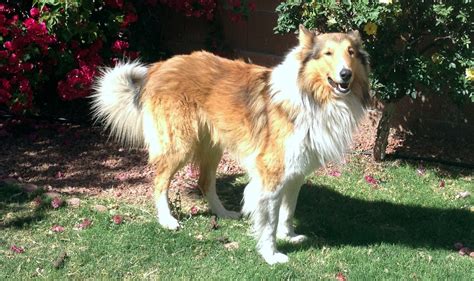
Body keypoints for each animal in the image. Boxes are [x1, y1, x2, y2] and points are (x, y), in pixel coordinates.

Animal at [91, 25, 370, 264]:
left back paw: (224, 213)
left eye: (351, 52)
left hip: (212, 146)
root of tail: (159, 66)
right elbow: (269, 221)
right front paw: (271, 255)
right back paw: (167, 220)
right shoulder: (271, 174)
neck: (311, 96)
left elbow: (288, 211)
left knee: (204, 182)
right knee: (159, 182)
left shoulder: (295, 173)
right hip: (179, 145)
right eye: (328, 53)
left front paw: (288, 236)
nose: (346, 74)